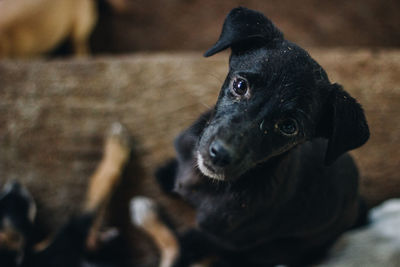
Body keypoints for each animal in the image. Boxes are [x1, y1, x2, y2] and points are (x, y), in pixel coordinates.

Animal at [155, 6, 368, 267]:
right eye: (240, 85)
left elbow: (199, 238)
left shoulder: (225, 237)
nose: (220, 155)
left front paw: (182, 250)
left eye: (288, 126)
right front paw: (168, 173)